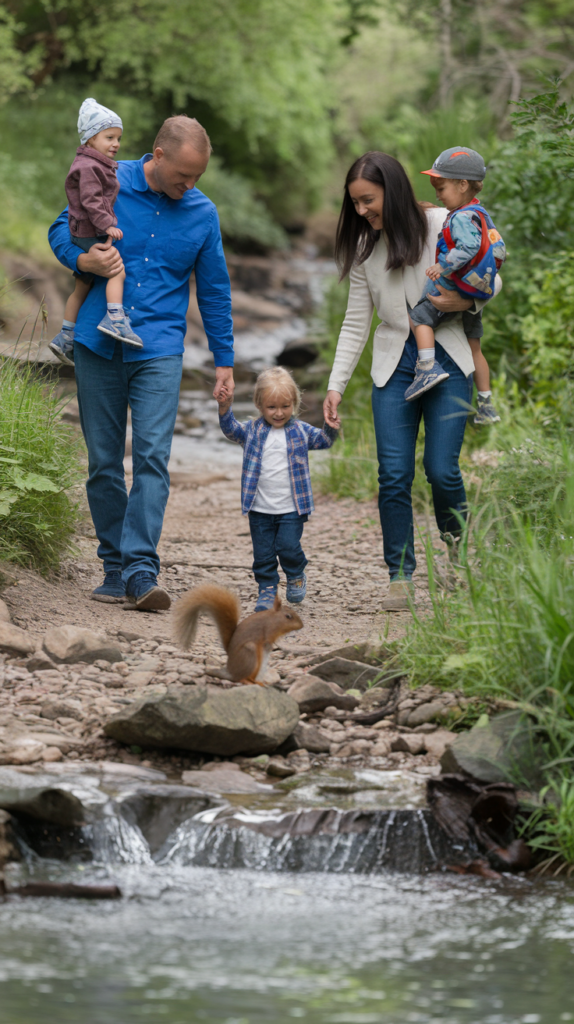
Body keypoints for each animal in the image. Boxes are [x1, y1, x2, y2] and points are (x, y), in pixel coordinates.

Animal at [170, 589, 302, 684]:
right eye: (288, 616)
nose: (301, 625)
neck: (273, 620)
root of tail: (231, 672)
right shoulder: (267, 631)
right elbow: (267, 640)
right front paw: (271, 646)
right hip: (250, 654)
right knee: (240, 678)